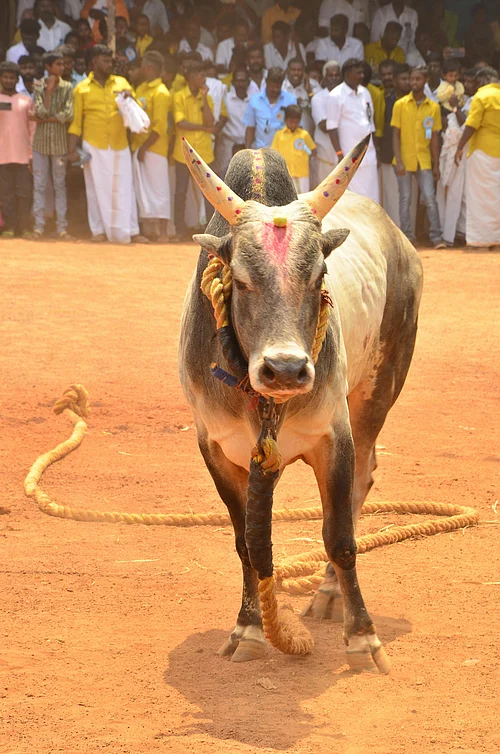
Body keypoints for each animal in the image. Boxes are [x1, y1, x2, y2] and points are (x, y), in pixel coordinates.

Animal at [178, 135, 423, 672]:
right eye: (239, 279)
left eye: (319, 275)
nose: (287, 370)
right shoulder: (215, 448)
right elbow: (248, 544)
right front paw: (248, 629)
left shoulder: (333, 434)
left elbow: (340, 537)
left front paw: (363, 638)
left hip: (376, 392)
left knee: (361, 484)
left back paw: (331, 595)